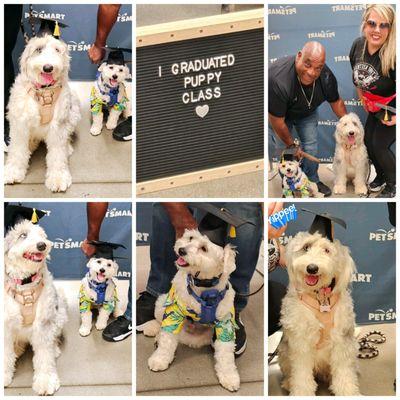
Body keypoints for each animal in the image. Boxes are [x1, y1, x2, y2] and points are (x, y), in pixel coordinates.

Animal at [3, 206, 67, 396]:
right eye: (22, 235)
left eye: (41, 236)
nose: (42, 245)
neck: (26, 284)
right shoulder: (5, 324)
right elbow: (5, 353)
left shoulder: (44, 324)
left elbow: (44, 357)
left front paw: (45, 381)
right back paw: (17, 348)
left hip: (59, 313)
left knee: (53, 339)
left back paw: (54, 349)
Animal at [4, 18, 80, 193]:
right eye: (38, 49)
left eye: (57, 50)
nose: (48, 67)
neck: (44, 92)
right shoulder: (19, 123)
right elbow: (17, 150)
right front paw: (13, 171)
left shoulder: (58, 126)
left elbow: (57, 154)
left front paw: (58, 177)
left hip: (74, 112)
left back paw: (67, 147)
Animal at [145, 205, 244, 392]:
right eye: (190, 238)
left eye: (204, 248)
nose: (182, 250)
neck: (204, 287)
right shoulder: (174, 312)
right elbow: (167, 340)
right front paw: (160, 359)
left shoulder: (225, 323)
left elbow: (225, 354)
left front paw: (229, 377)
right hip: (163, 302)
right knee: (160, 323)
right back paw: (154, 331)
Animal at [278, 209, 360, 396]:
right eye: (306, 247)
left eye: (327, 250)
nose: (312, 268)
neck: (321, 297)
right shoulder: (300, 342)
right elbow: (301, 373)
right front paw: (301, 392)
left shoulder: (342, 340)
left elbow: (344, 372)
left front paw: (348, 391)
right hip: (284, 352)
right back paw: (288, 383)